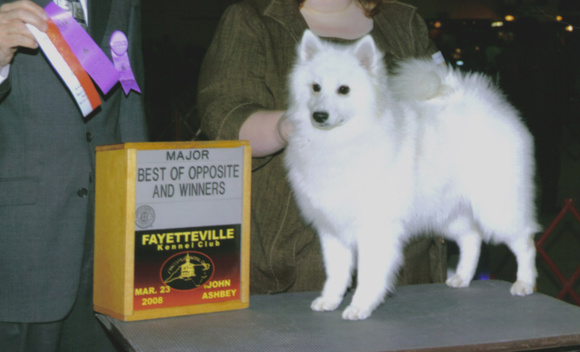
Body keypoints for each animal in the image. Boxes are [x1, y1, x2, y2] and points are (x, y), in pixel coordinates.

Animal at [284, 31, 540, 320]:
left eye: (343, 90)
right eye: (315, 87)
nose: (319, 115)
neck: (341, 140)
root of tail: (491, 105)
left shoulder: (375, 228)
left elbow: (369, 275)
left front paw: (360, 306)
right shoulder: (332, 230)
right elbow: (337, 273)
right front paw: (329, 300)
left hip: (498, 209)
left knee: (524, 242)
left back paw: (524, 283)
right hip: (450, 213)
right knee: (472, 239)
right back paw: (462, 278)